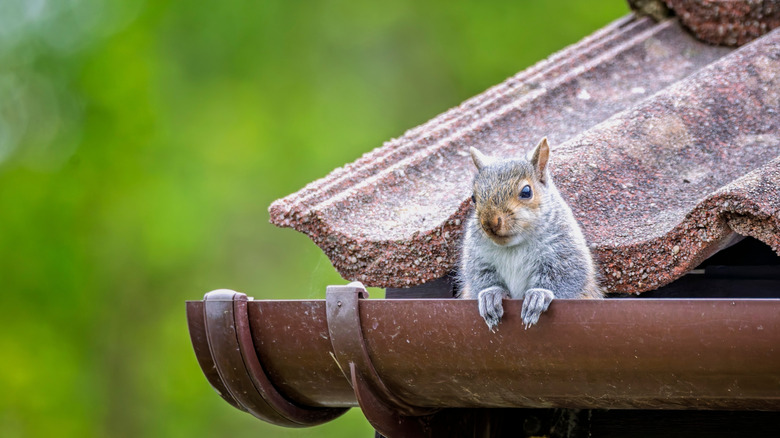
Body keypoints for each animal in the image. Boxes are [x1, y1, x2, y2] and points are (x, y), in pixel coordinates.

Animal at [457, 137, 602, 330]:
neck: (513, 246)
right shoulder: (478, 257)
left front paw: (538, 296)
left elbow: (566, 277)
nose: (489, 223)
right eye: (473, 197)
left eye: (526, 192)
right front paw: (490, 295)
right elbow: (479, 277)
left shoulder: (565, 251)